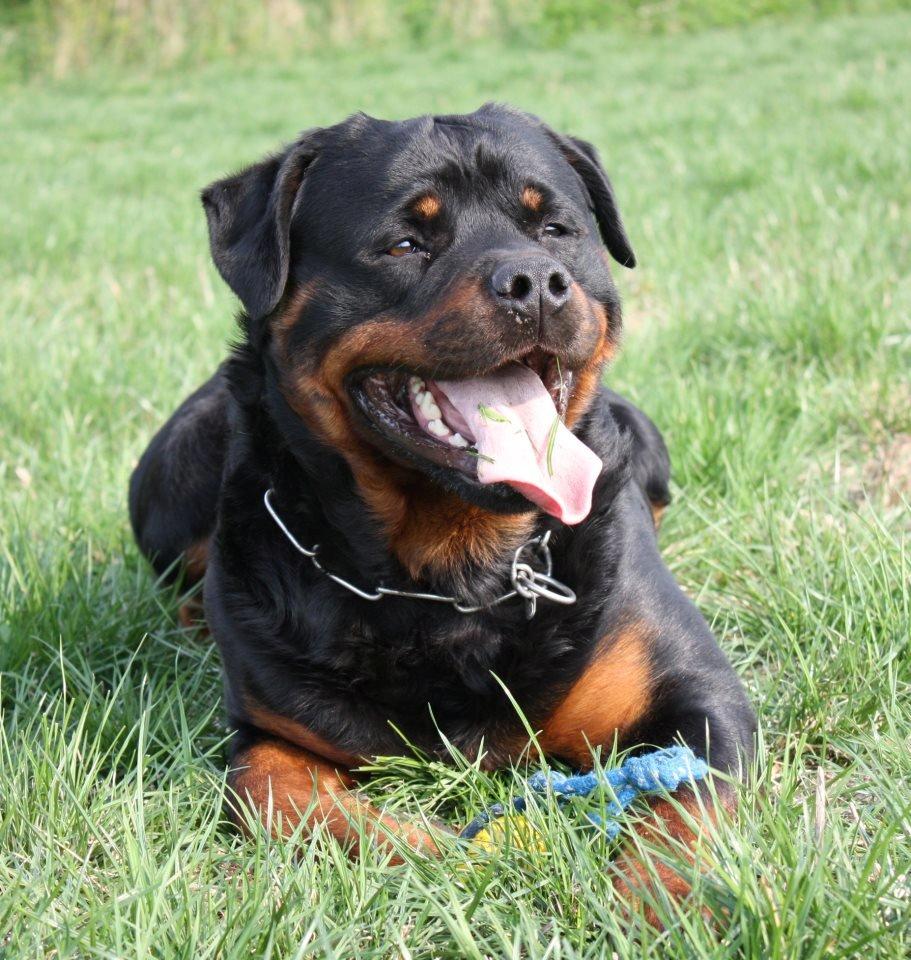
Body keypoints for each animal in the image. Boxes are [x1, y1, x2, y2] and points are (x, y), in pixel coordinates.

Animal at [130, 105, 756, 916]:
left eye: (555, 229)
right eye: (404, 243)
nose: (535, 281)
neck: (453, 574)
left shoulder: (699, 695)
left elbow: (685, 805)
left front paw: (658, 905)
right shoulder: (266, 736)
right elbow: (278, 791)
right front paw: (445, 857)